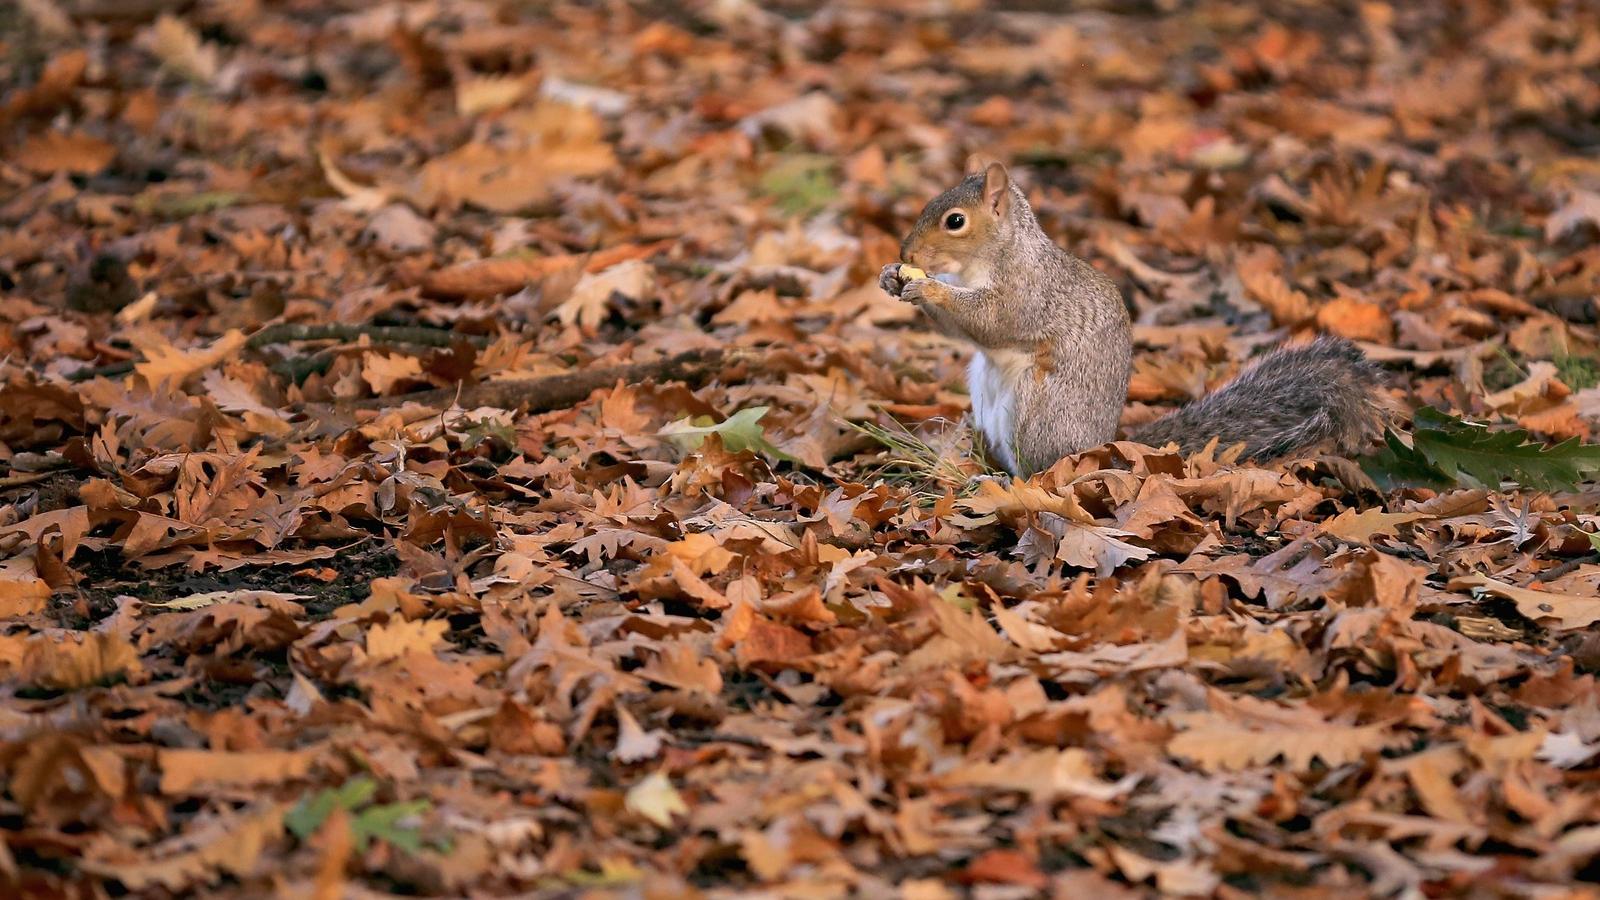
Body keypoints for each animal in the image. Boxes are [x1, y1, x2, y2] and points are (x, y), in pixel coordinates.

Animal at [876, 160, 1388, 477]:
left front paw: (928, 286)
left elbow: (991, 321)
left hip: (1039, 411)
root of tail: (1100, 450)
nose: (906, 253)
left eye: (955, 221)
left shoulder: (1027, 292)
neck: (991, 258)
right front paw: (892, 278)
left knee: (1041, 469)